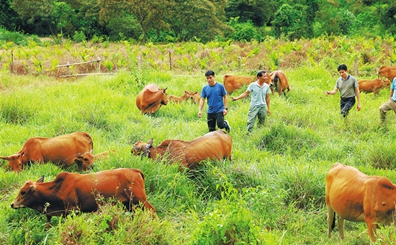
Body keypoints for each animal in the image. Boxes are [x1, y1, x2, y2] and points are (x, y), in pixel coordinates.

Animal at [10, 168, 156, 228]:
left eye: (23, 192)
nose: (12, 204)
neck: (58, 187)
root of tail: (136, 171)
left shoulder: (73, 211)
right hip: (130, 205)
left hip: (140, 200)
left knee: (153, 211)